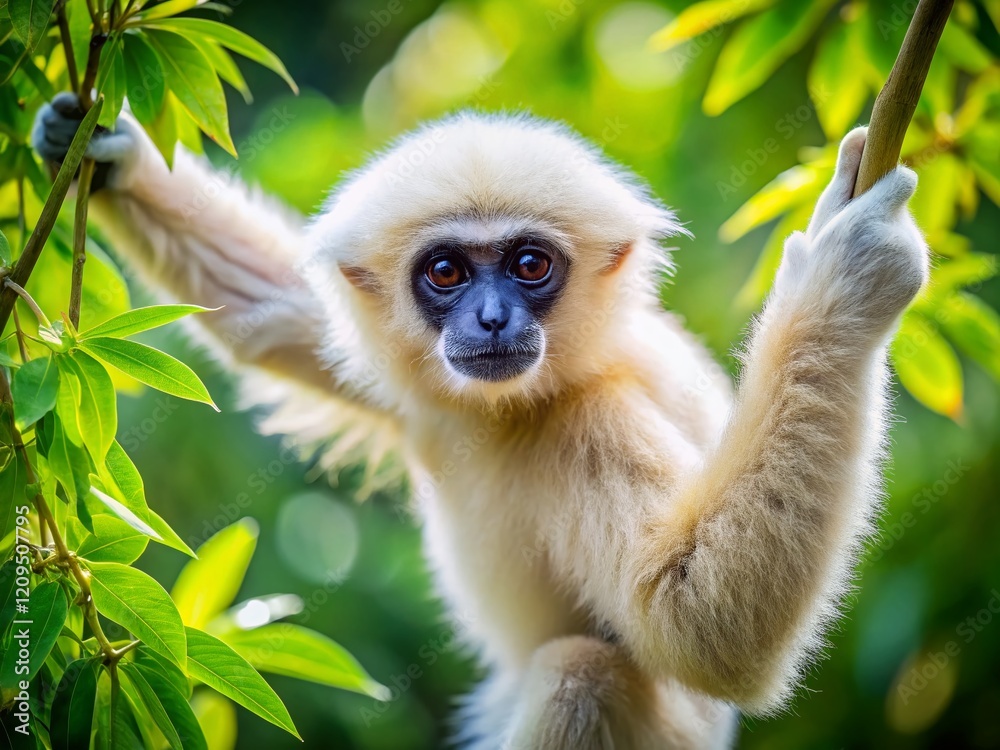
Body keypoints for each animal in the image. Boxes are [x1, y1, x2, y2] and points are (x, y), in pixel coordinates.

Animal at [33, 92, 928, 749]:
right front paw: (105, 152)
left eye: (530, 265)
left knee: (585, 672)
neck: (514, 409)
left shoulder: (590, 418)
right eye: (446, 272)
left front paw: (848, 278)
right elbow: (275, 316)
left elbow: (704, 626)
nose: (493, 318)